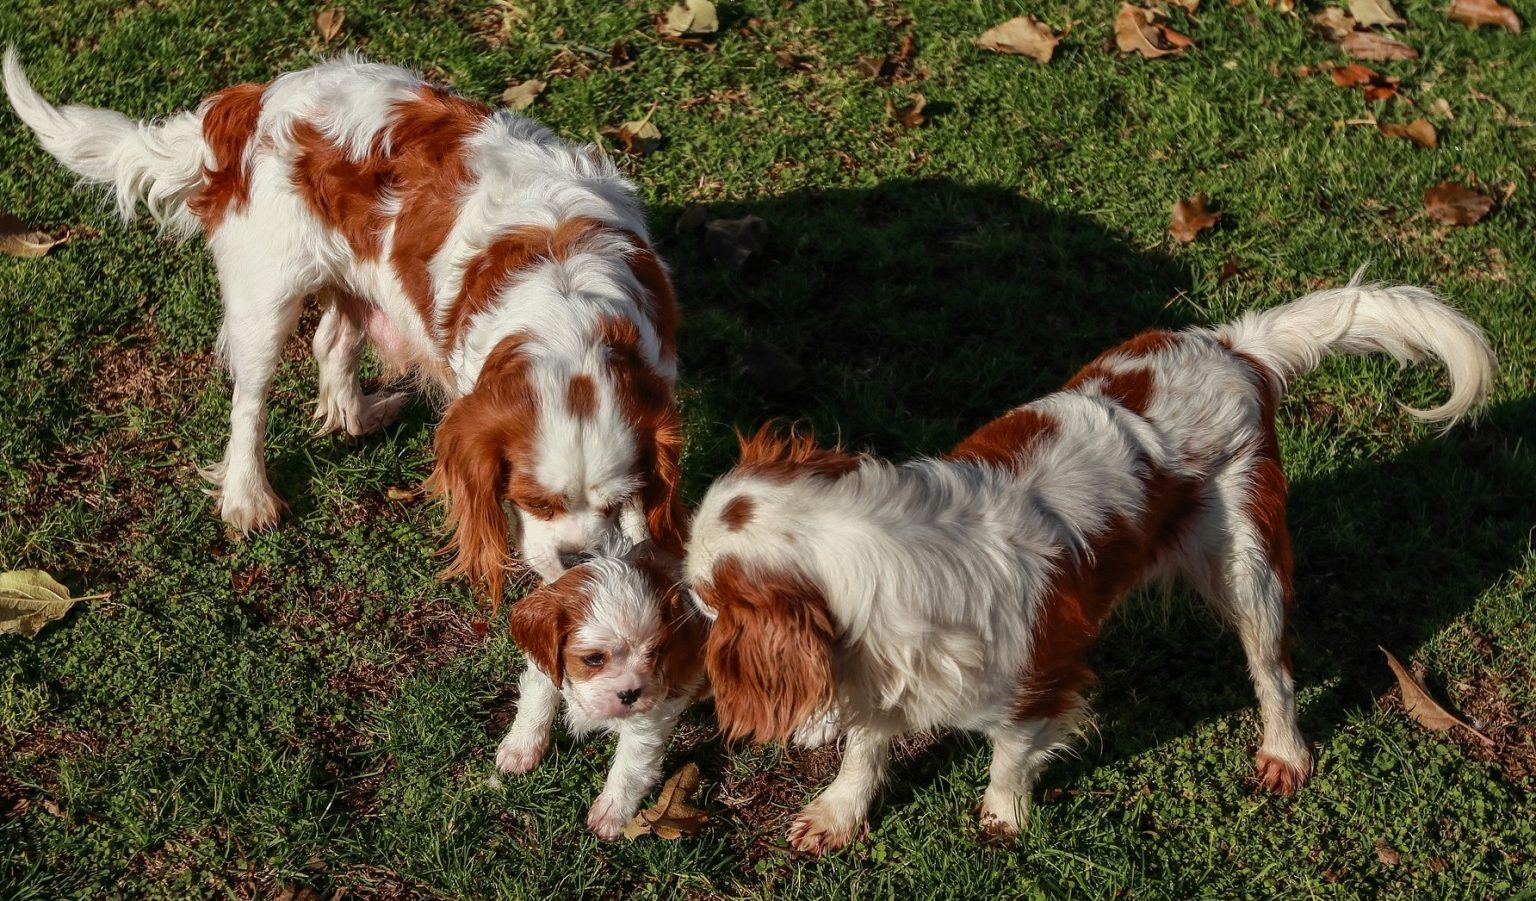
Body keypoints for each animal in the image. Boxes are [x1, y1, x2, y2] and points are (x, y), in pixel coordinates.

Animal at [3, 52, 681, 589]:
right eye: (533, 501)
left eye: (620, 500)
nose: (578, 561)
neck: (568, 314)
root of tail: (247, 101)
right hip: (265, 297)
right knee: (249, 400)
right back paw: (248, 496)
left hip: (361, 278)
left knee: (333, 342)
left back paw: (360, 413)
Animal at [494, 549, 703, 841]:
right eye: (593, 659)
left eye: (654, 653)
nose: (630, 693)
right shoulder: (543, 668)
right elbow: (535, 703)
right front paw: (520, 749)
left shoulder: (651, 711)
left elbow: (630, 766)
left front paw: (612, 812)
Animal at [681, 277, 1486, 859]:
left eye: (706, 599)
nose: (678, 614)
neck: (888, 544)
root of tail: (1235, 348)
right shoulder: (880, 666)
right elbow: (865, 746)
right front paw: (838, 812)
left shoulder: (1041, 677)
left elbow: (1010, 753)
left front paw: (1002, 816)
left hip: (1247, 565)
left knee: (1273, 669)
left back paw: (1285, 751)